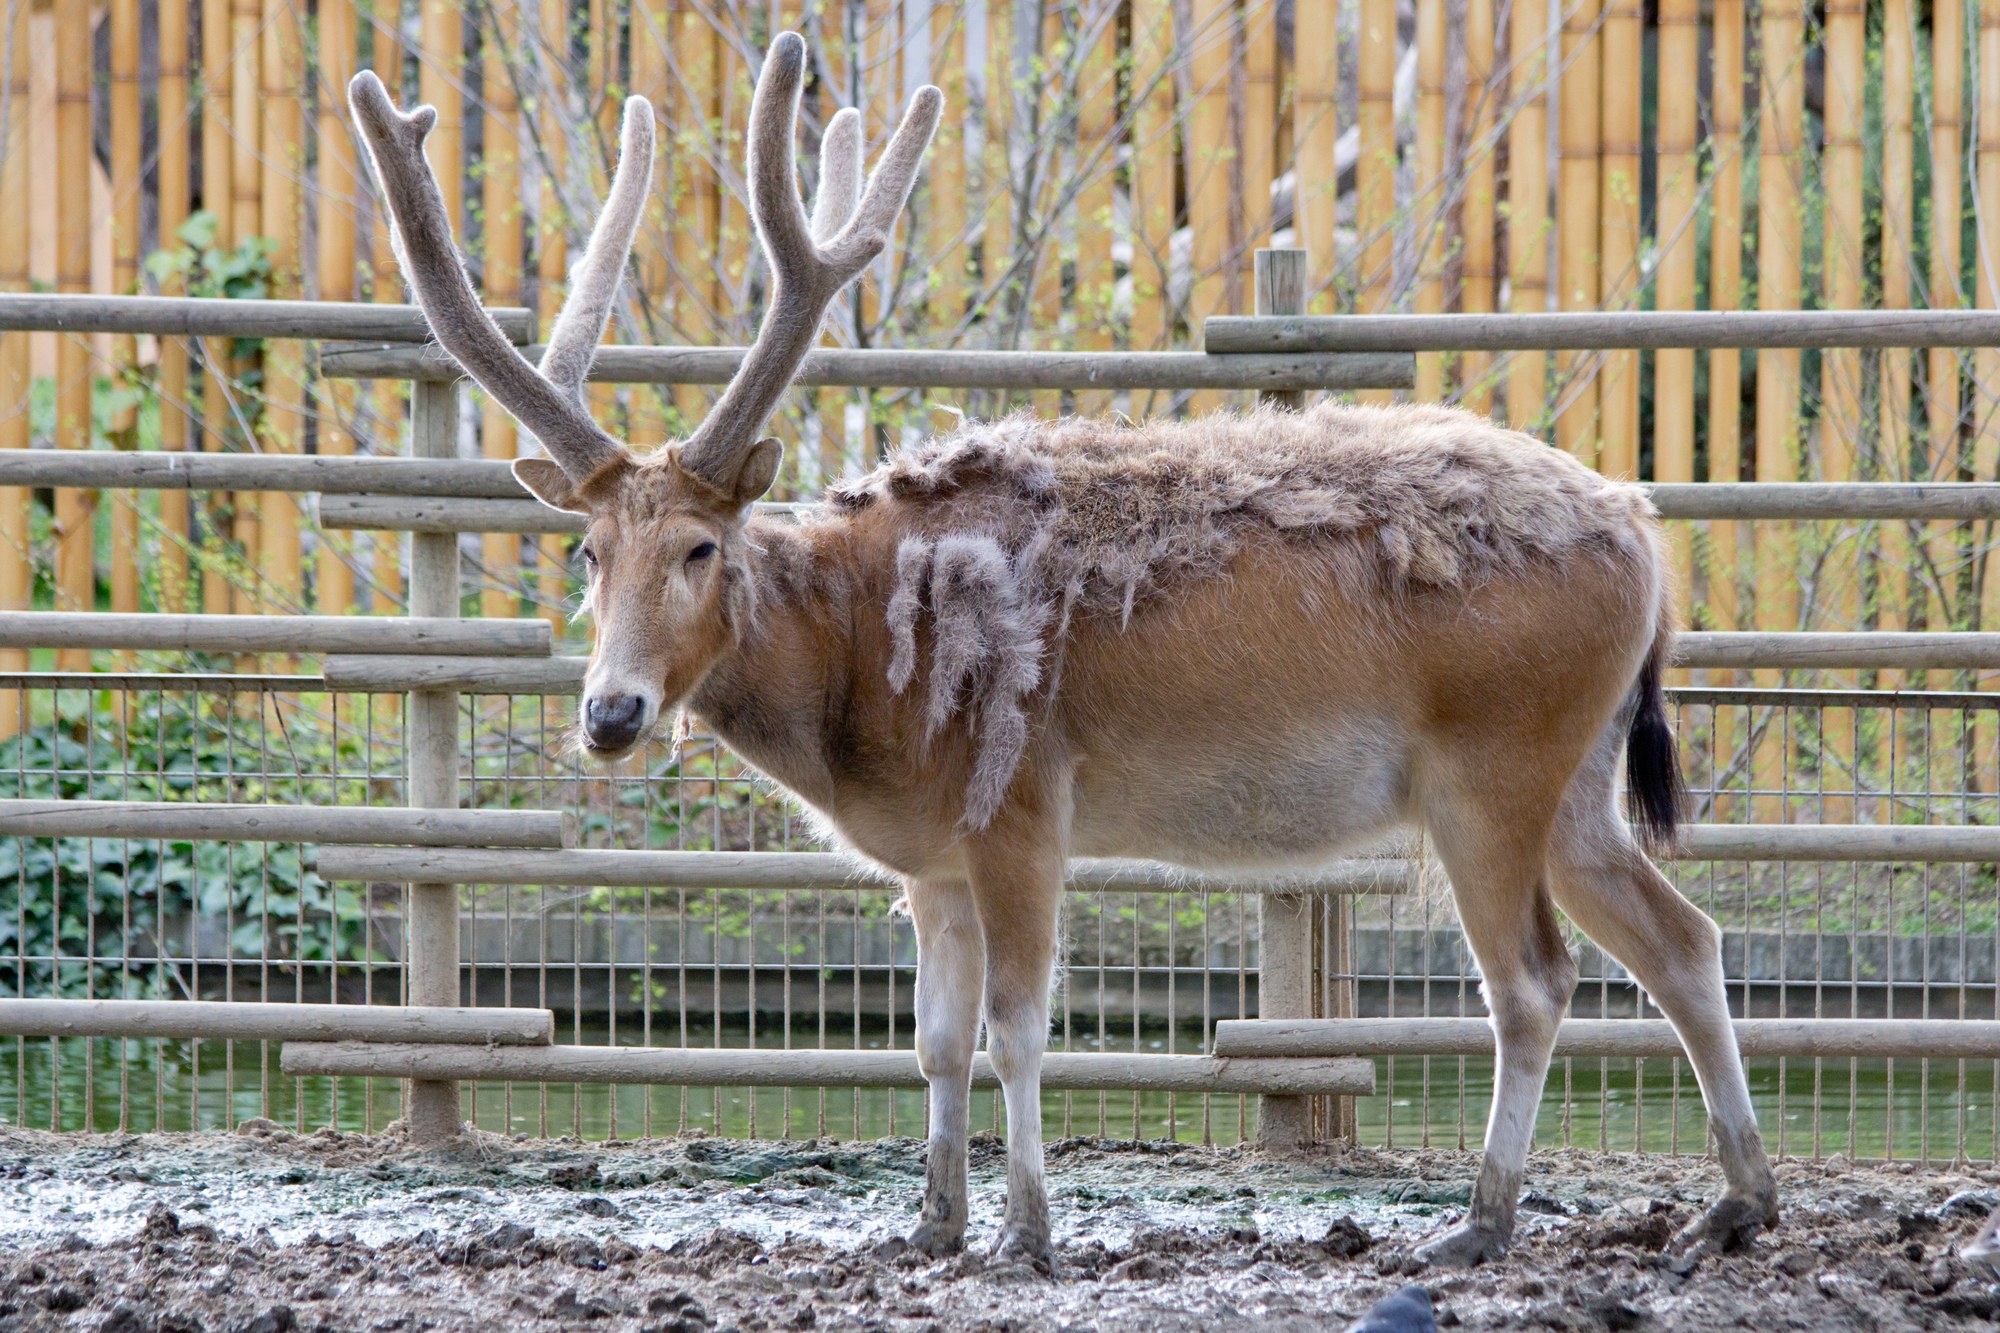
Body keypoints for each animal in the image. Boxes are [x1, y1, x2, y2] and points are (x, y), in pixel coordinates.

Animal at [349, 31, 1778, 1269]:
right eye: (588, 553)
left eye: (702, 546)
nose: (611, 712)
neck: (858, 690)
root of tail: (1650, 547)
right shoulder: (927, 861)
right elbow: (930, 1042)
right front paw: (928, 1224)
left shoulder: (1021, 801)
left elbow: (1020, 1031)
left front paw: (1028, 1233)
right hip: (1579, 777)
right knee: (1682, 935)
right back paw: (1736, 1204)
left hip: (1493, 763)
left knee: (1534, 982)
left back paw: (1479, 1224)